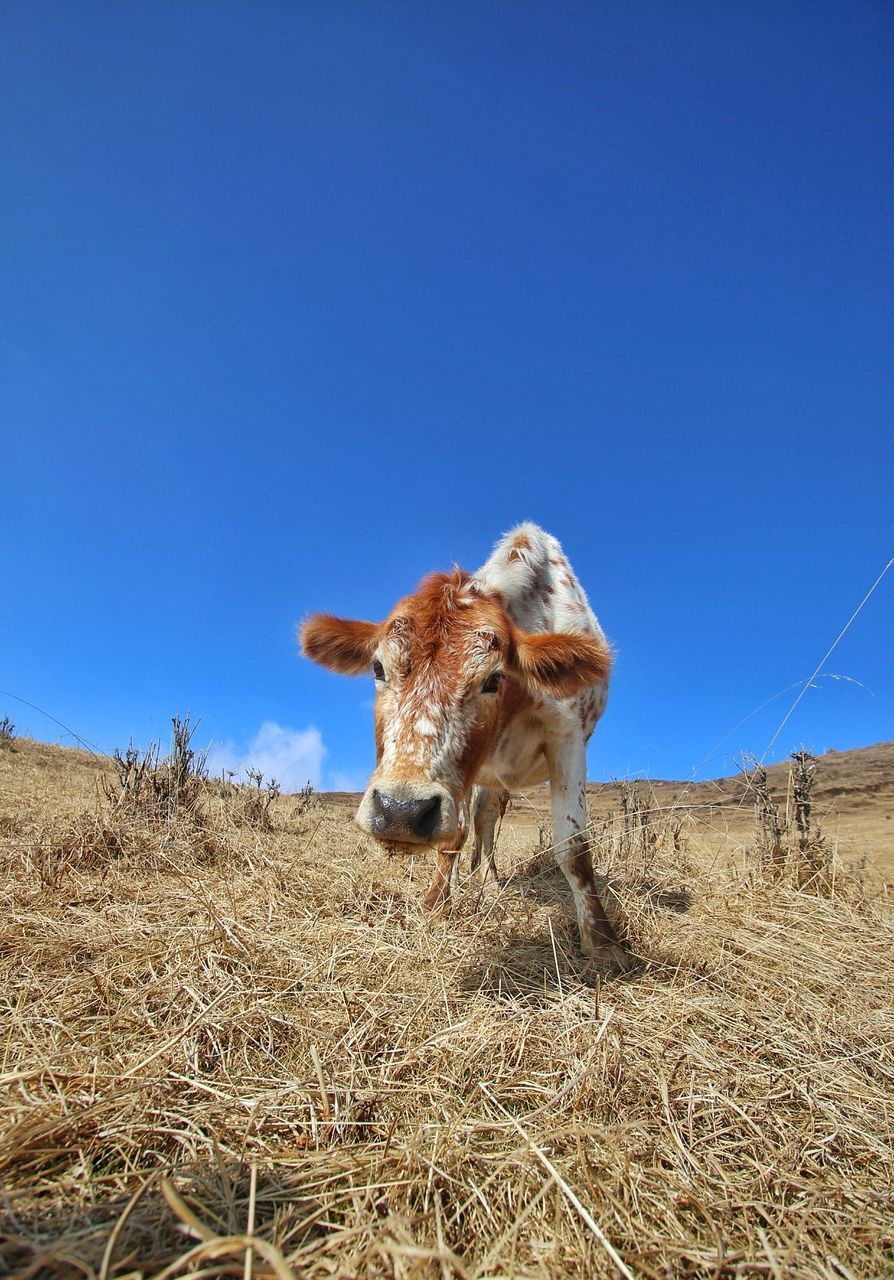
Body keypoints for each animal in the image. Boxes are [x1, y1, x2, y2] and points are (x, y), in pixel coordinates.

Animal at [299, 524, 627, 962]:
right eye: (378, 668)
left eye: (493, 678)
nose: (401, 811)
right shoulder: (466, 773)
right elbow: (454, 835)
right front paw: (437, 905)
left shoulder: (568, 738)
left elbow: (573, 846)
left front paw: (603, 943)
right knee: (478, 823)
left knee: (488, 822)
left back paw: (489, 881)